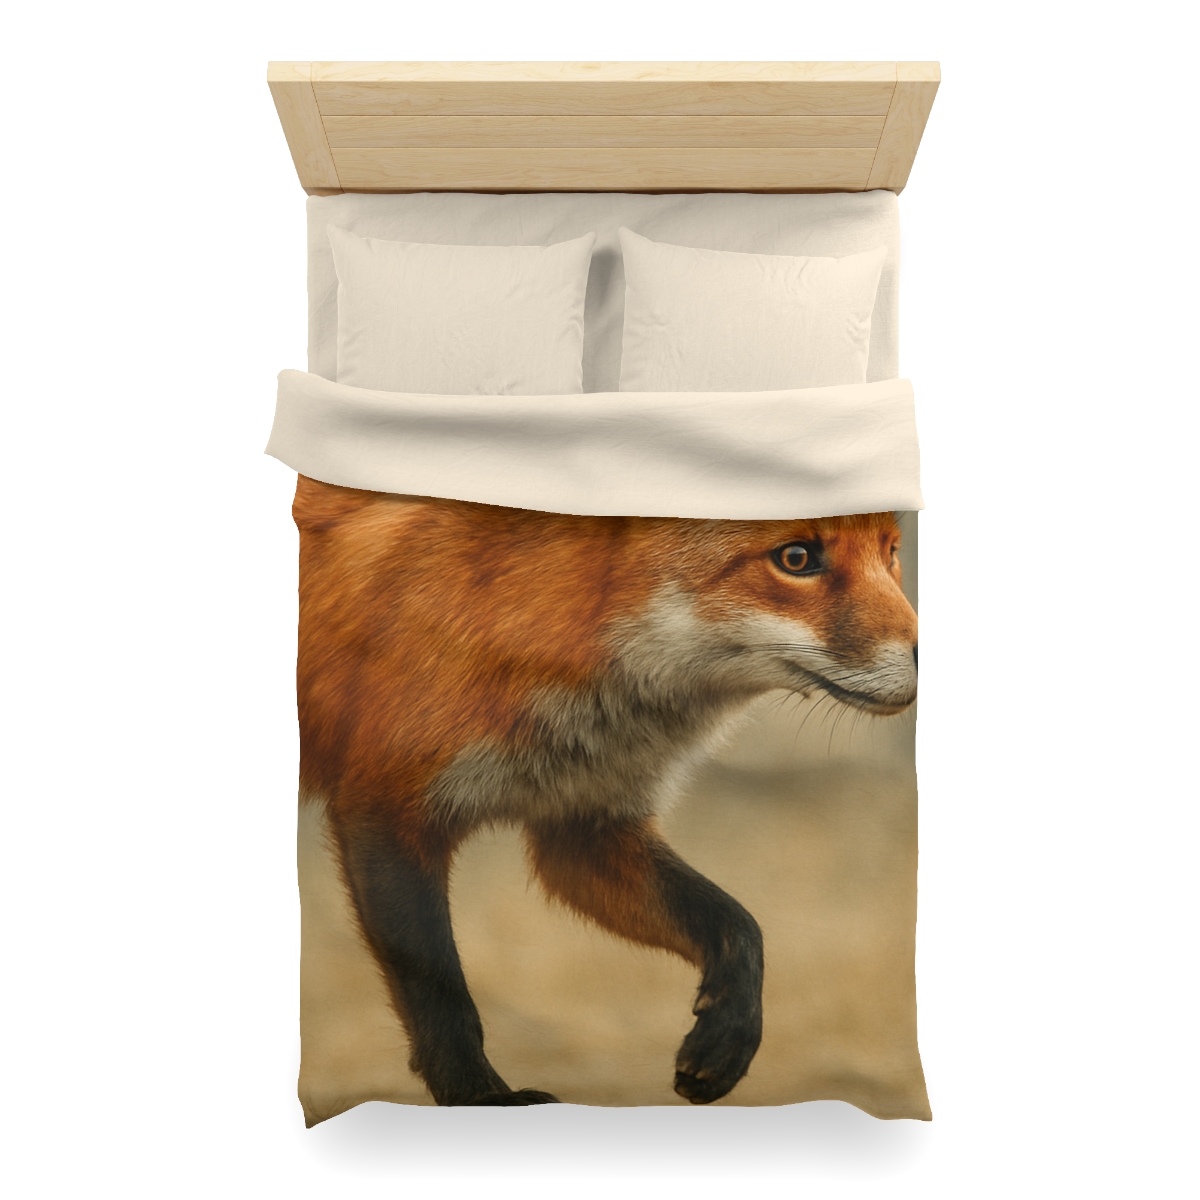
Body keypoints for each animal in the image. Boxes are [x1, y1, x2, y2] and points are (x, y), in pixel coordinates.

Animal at [294, 474, 918, 1108]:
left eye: (892, 552)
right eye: (796, 558)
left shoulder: (584, 825)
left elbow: (737, 923)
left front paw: (727, 1036)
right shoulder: (386, 806)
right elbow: (437, 986)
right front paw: (480, 1098)